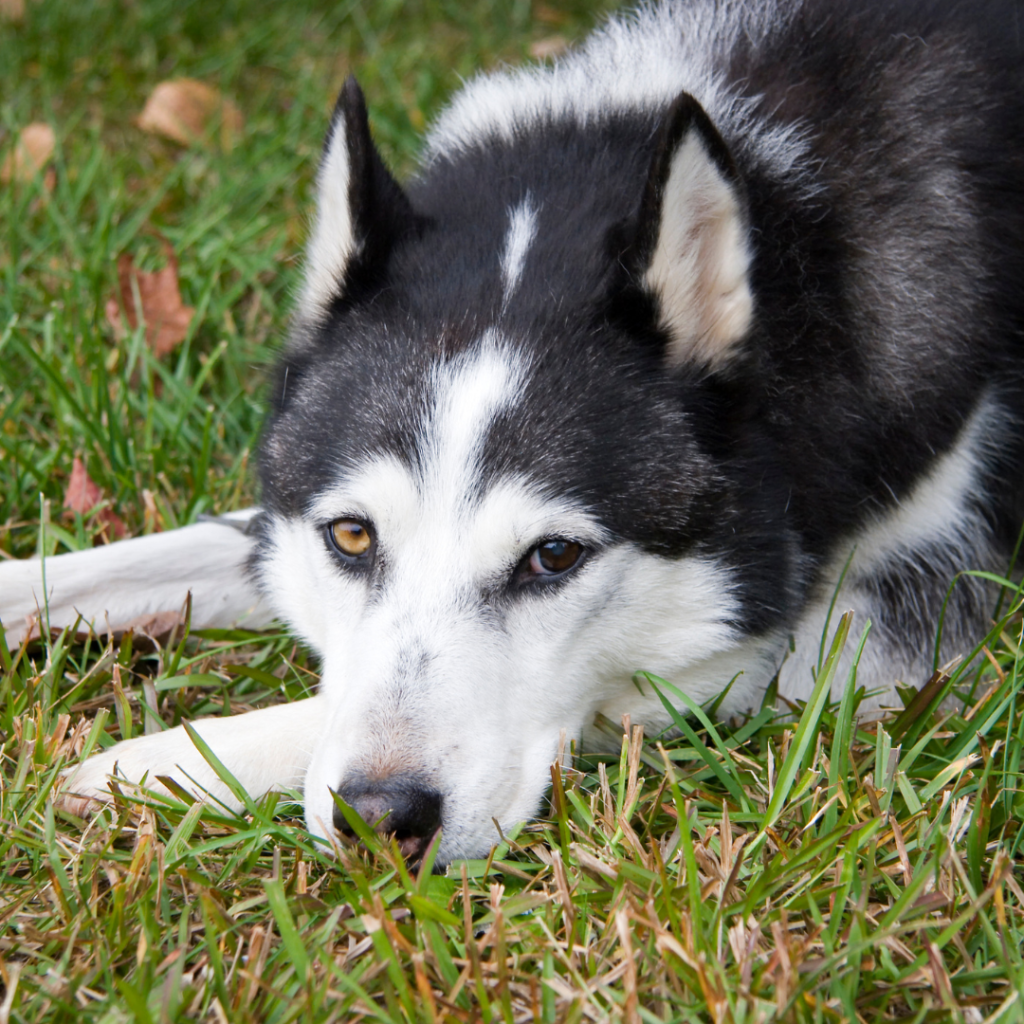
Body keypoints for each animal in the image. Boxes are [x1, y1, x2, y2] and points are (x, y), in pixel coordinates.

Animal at [2, 0, 1024, 864]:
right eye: (352, 536)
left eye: (554, 558)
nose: (381, 820)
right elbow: (142, 565)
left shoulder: (880, 619)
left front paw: (166, 760)